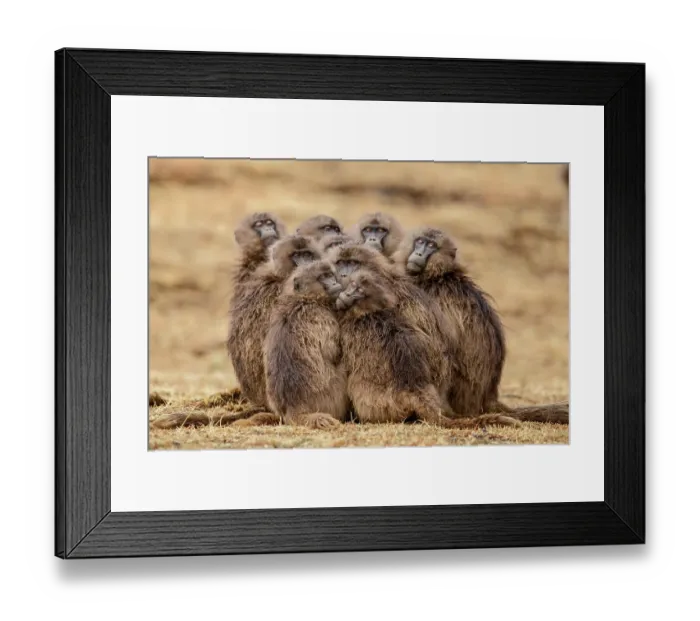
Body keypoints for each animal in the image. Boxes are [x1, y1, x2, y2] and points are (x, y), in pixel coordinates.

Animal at [263, 261, 349, 429]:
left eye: (330, 275)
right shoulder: (322, 318)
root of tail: (293, 408)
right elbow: (334, 353)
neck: (305, 298)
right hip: (333, 394)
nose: (335, 283)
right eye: (323, 277)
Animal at [336, 270, 519, 429]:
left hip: (376, 403)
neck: (371, 312)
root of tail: (415, 392)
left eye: (358, 288)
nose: (345, 293)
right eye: (354, 285)